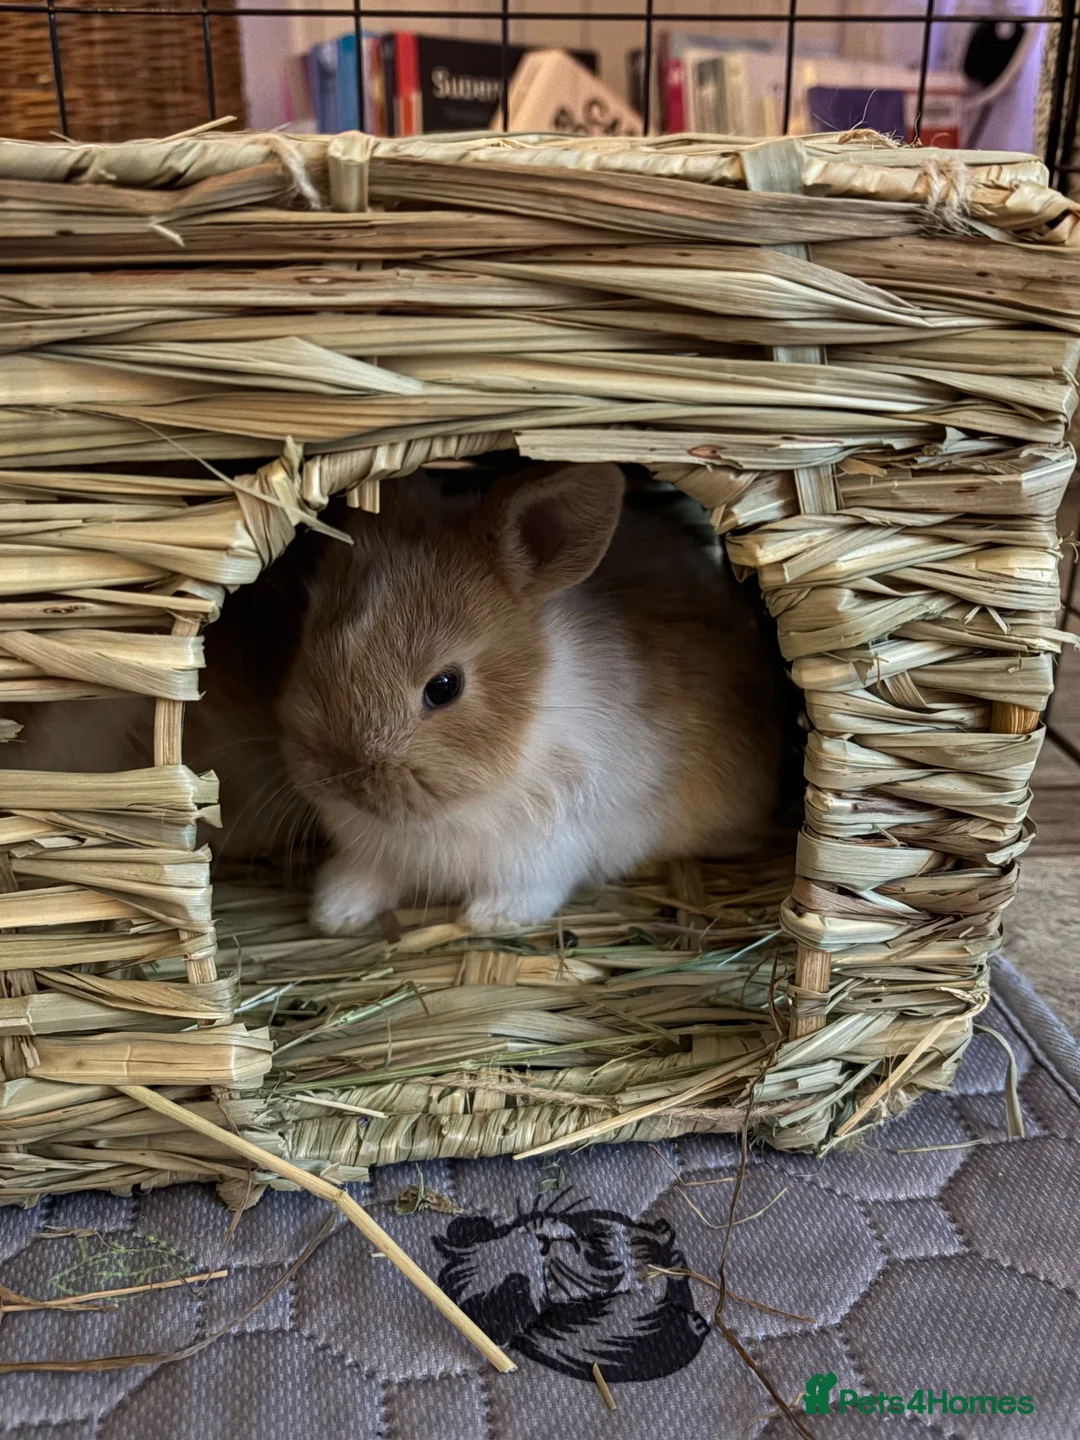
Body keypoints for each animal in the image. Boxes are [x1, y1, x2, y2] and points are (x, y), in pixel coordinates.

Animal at [279, 461, 784, 934]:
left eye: (444, 687)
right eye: (309, 641)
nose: (341, 780)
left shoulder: (553, 851)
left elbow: (530, 888)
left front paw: (490, 919)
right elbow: (365, 878)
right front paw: (334, 912)